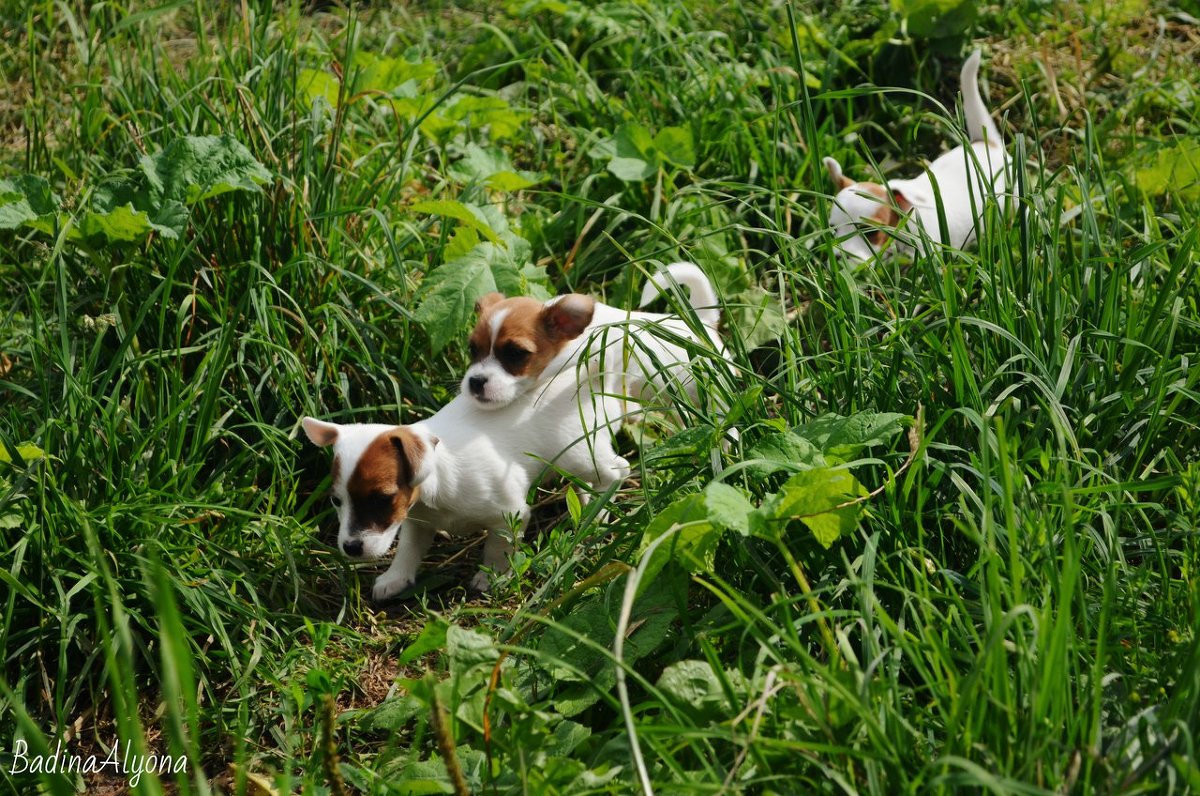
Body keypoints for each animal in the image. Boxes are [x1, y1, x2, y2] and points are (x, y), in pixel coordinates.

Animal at [302, 369, 628, 600]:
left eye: (382, 498)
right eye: (336, 501)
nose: (351, 548)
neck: (439, 485)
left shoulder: (509, 514)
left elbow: (499, 546)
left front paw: (493, 575)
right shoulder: (417, 521)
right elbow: (409, 548)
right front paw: (396, 577)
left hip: (576, 453)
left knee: (616, 471)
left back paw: (597, 515)